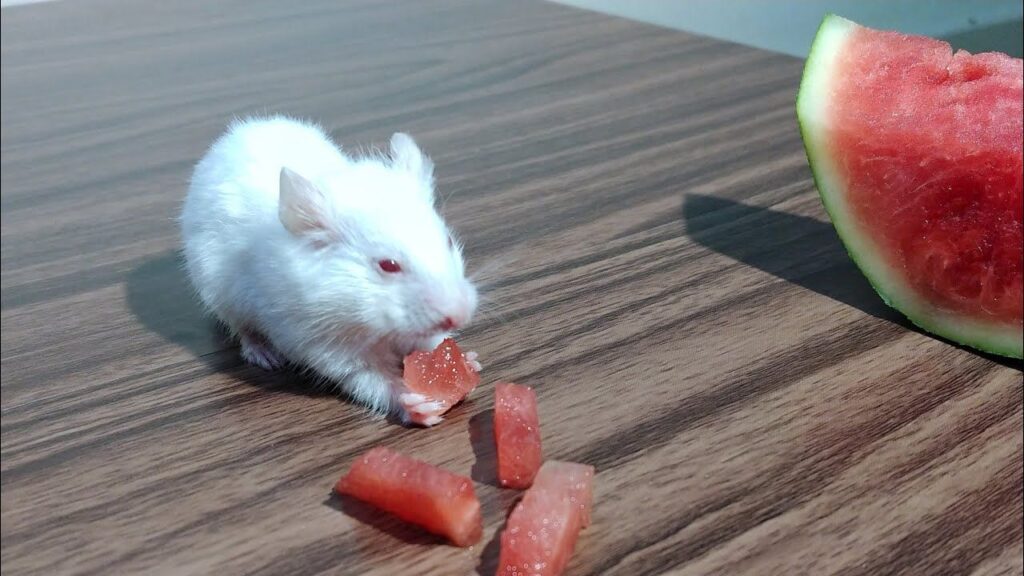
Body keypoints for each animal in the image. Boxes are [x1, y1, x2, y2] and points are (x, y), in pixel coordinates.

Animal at [180, 116, 479, 426]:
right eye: (388, 265)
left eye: (448, 241)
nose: (461, 315)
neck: (364, 319)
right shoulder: (324, 346)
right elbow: (371, 379)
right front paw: (420, 406)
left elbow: (433, 342)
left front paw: (469, 363)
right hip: (219, 293)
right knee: (243, 330)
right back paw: (265, 356)